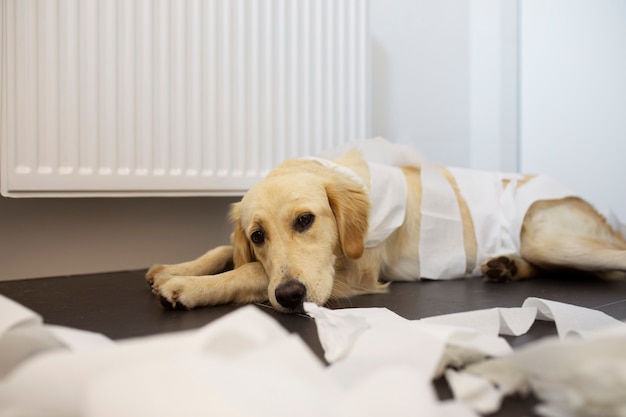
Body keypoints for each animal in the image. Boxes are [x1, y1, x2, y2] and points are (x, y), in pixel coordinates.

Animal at [146, 140, 624, 312]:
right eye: (257, 235)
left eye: (305, 220)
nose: (291, 296)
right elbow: (227, 251)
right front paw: (174, 268)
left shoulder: (354, 274)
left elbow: (248, 271)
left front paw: (187, 287)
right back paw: (503, 265)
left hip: (548, 237)